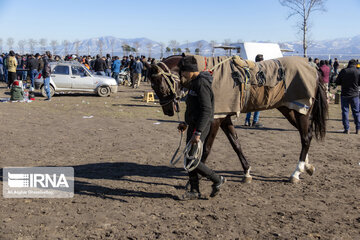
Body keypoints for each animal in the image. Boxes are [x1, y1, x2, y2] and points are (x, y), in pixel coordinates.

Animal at [143, 55, 326, 184]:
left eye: (157, 84)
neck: (207, 74)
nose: (168, 111)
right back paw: (306, 166)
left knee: (305, 137)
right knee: (307, 135)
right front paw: (247, 172)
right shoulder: (224, 117)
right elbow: (236, 144)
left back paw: (296, 172)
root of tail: (313, 68)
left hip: (301, 110)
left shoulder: (215, 119)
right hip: (290, 109)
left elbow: (206, 148)